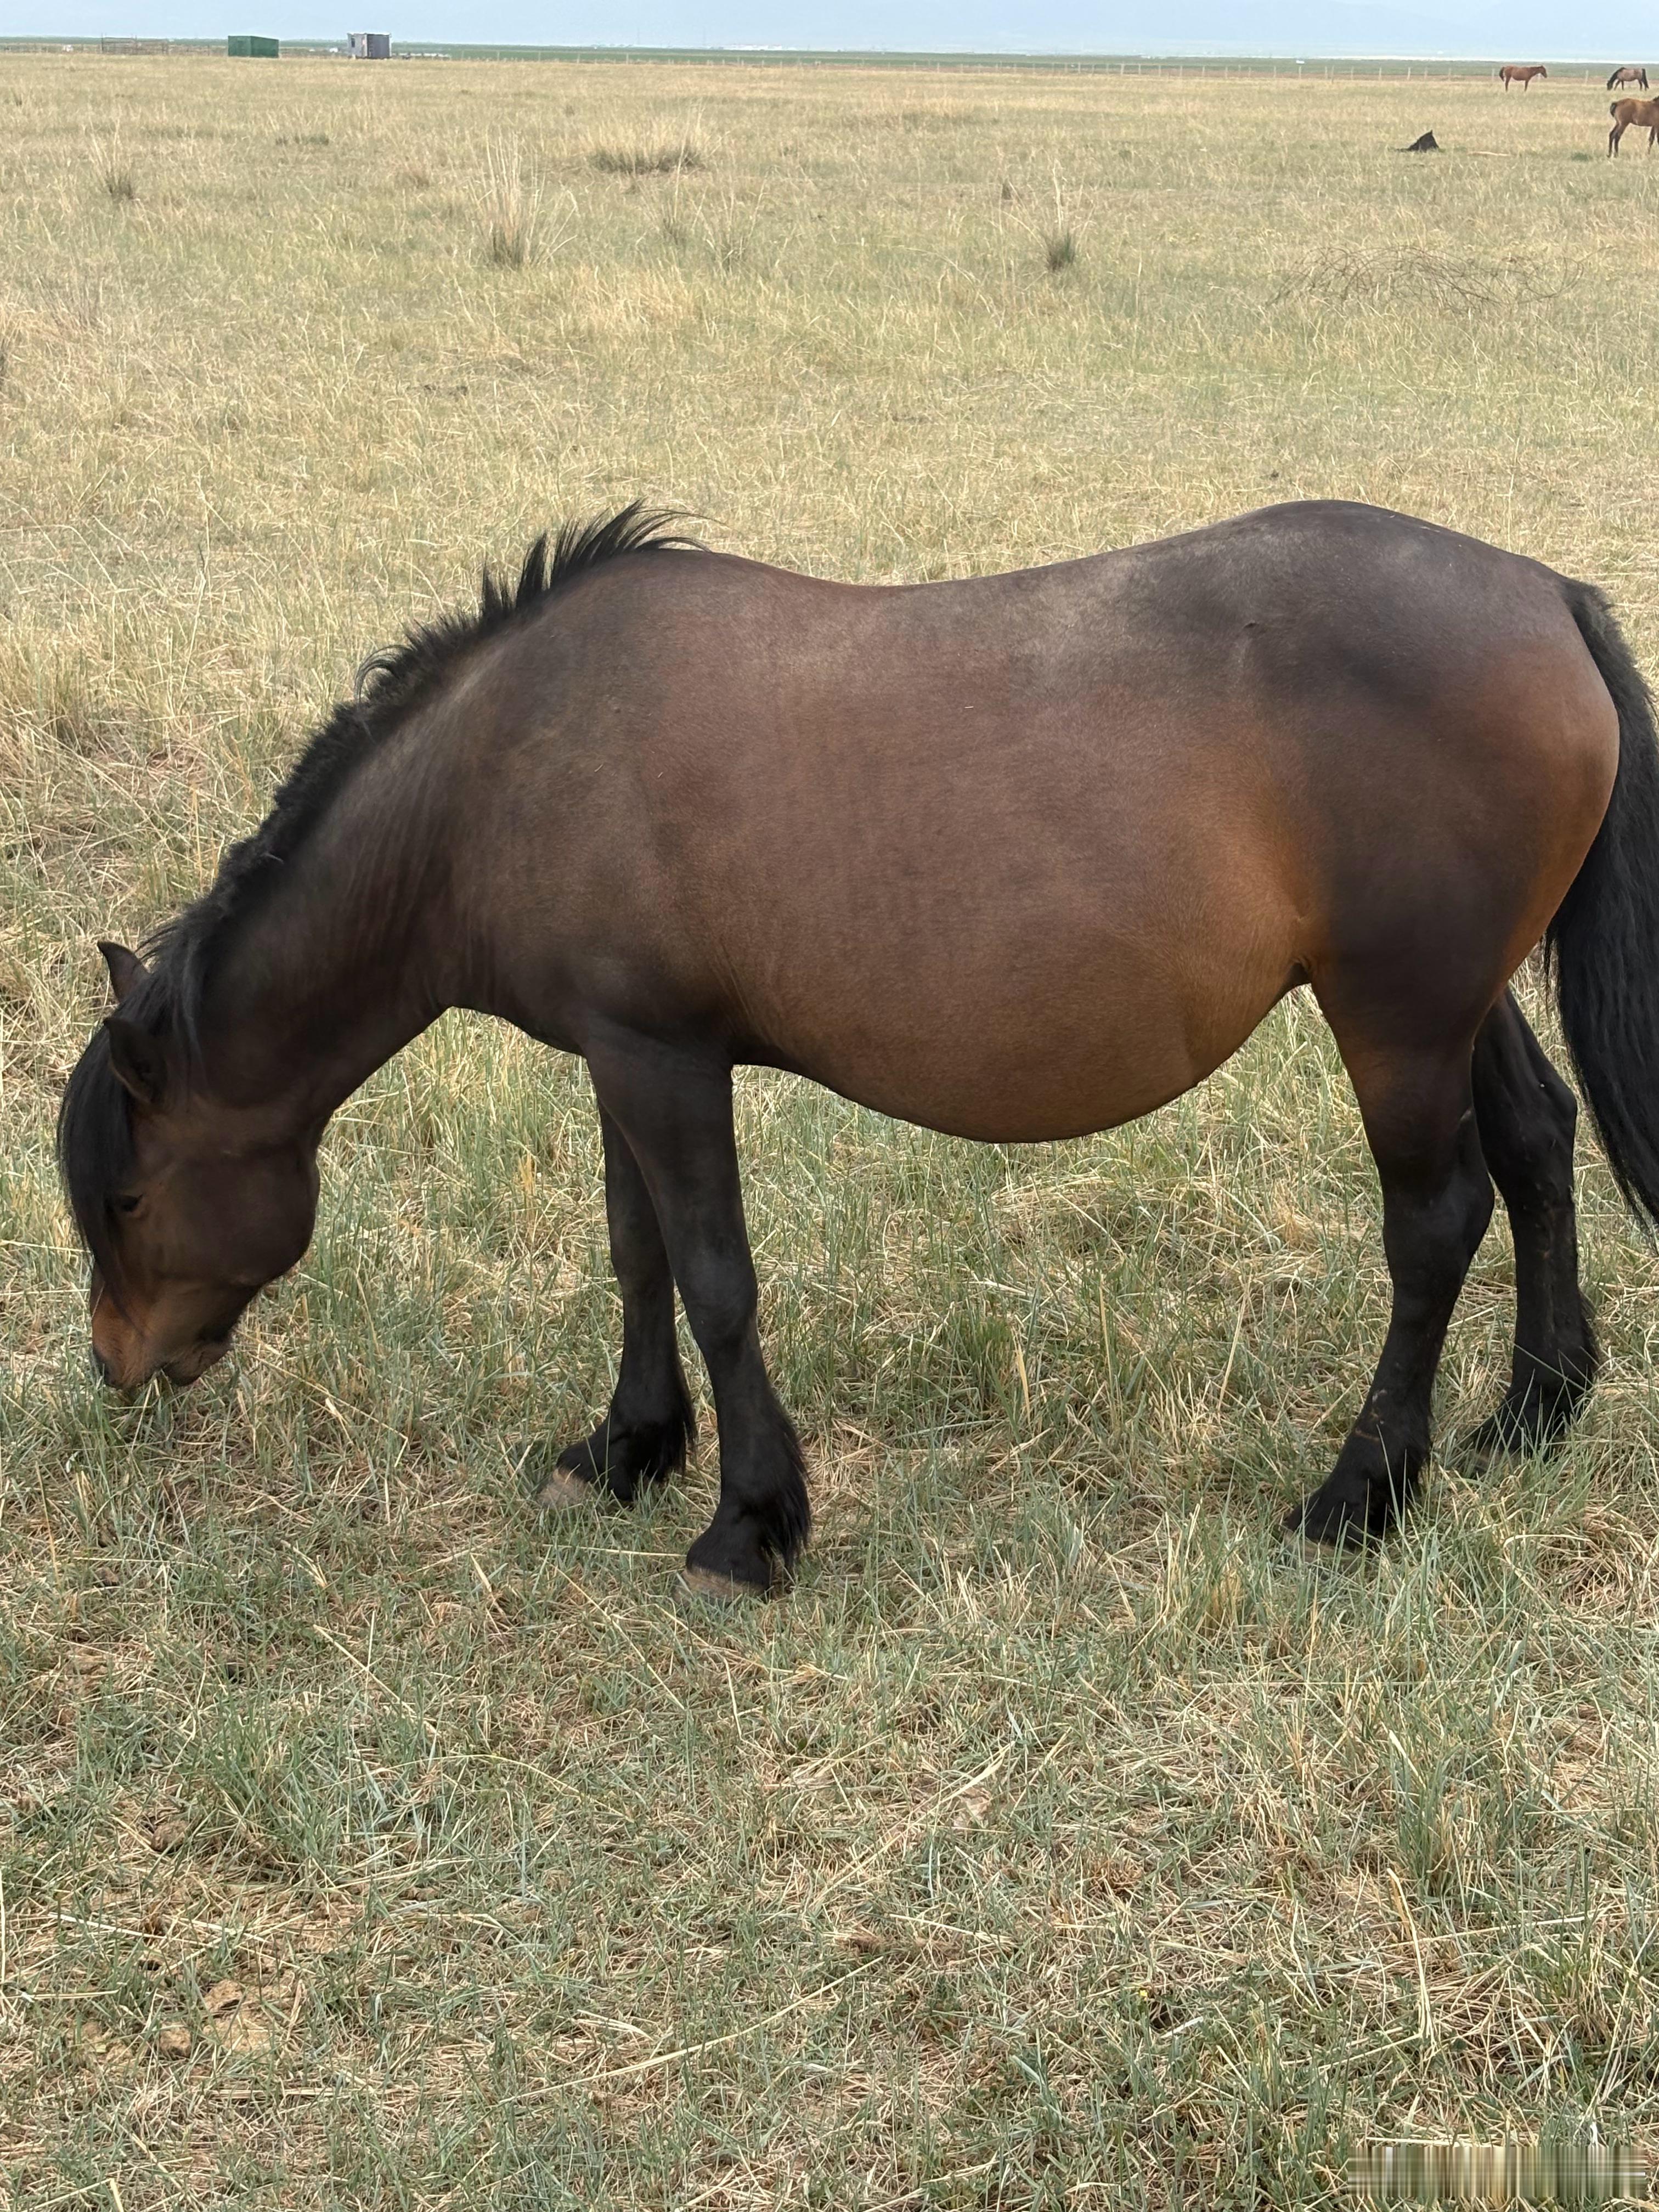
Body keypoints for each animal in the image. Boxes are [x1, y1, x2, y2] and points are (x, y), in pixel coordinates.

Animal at [57, 501, 1659, 1598]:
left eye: (127, 1198)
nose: (122, 1367)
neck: (507, 764)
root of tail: (1547, 596)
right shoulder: (618, 1056)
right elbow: (639, 1259)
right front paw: (630, 1448)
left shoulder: (663, 1062)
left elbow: (715, 1280)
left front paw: (751, 1523)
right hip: (1448, 1003)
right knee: (1537, 1144)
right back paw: (1530, 1412)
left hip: (1394, 1018)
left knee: (1437, 1221)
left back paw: (1362, 1493)